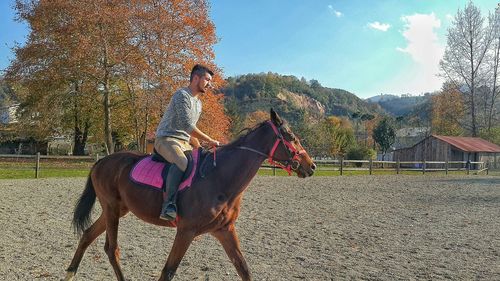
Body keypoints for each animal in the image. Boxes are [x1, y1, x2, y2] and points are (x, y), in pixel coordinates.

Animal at [65, 108, 316, 278]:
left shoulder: (225, 230)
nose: (311, 166)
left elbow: (244, 269)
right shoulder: (186, 231)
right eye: (291, 137)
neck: (219, 178)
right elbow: (168, 272)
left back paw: (70, 272)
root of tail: (101, 161)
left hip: (116, 210)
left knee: (87, 235)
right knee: (111, 249)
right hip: (111, 209)